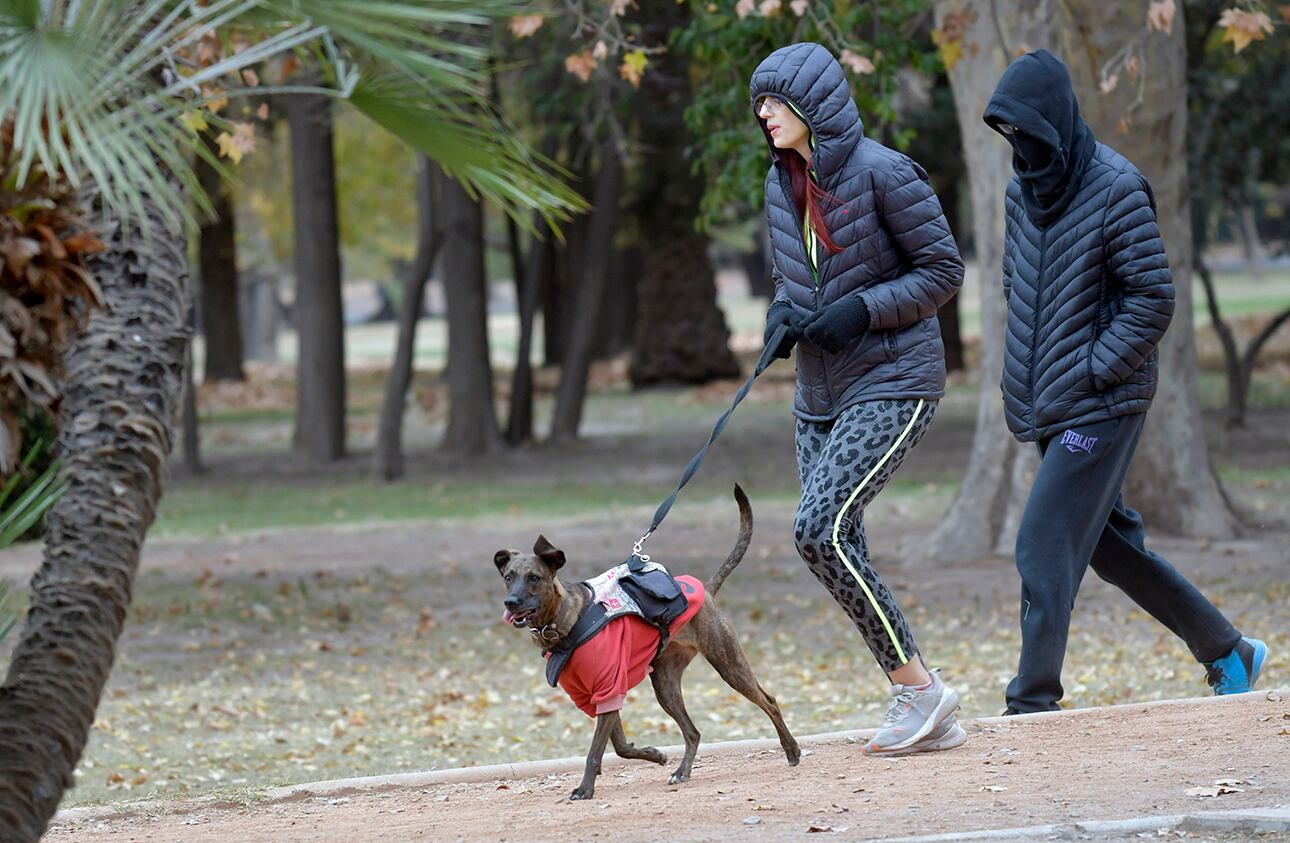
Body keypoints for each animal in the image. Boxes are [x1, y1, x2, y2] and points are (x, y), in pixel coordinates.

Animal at [490, 482, 794, 800]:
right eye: (508, 576)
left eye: (534, 577)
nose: (511, 602)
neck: (566, 621)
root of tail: (706, 590)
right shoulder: (598, 696)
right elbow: (620, 746)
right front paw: (654, 754)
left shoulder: (608, 688)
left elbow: (596, 751)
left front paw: (585, 789)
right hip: (665, 685)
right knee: (693, 732)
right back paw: (682, 771)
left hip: (729, 665)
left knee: (769, 701)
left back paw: (792, 751)